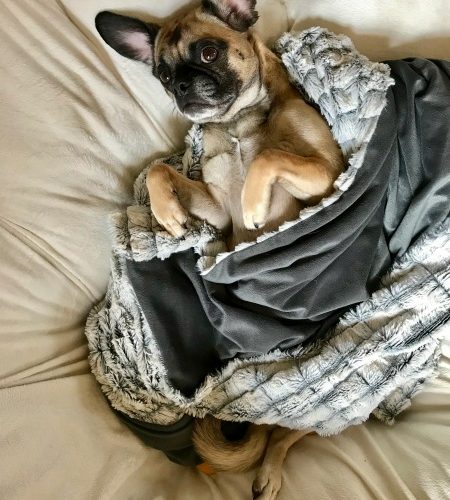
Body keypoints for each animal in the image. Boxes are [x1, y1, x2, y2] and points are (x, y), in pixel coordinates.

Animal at [96, 1, 344, 498]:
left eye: (208, 52)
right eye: (162, 75)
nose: (181, 87)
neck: (235, 125)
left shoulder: (325, 173)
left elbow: (268, 157)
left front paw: (255, 201)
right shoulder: (215, 209)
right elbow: (160, 170)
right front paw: (168, 213)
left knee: (285, 434)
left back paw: (269, 471)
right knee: (279, 430)